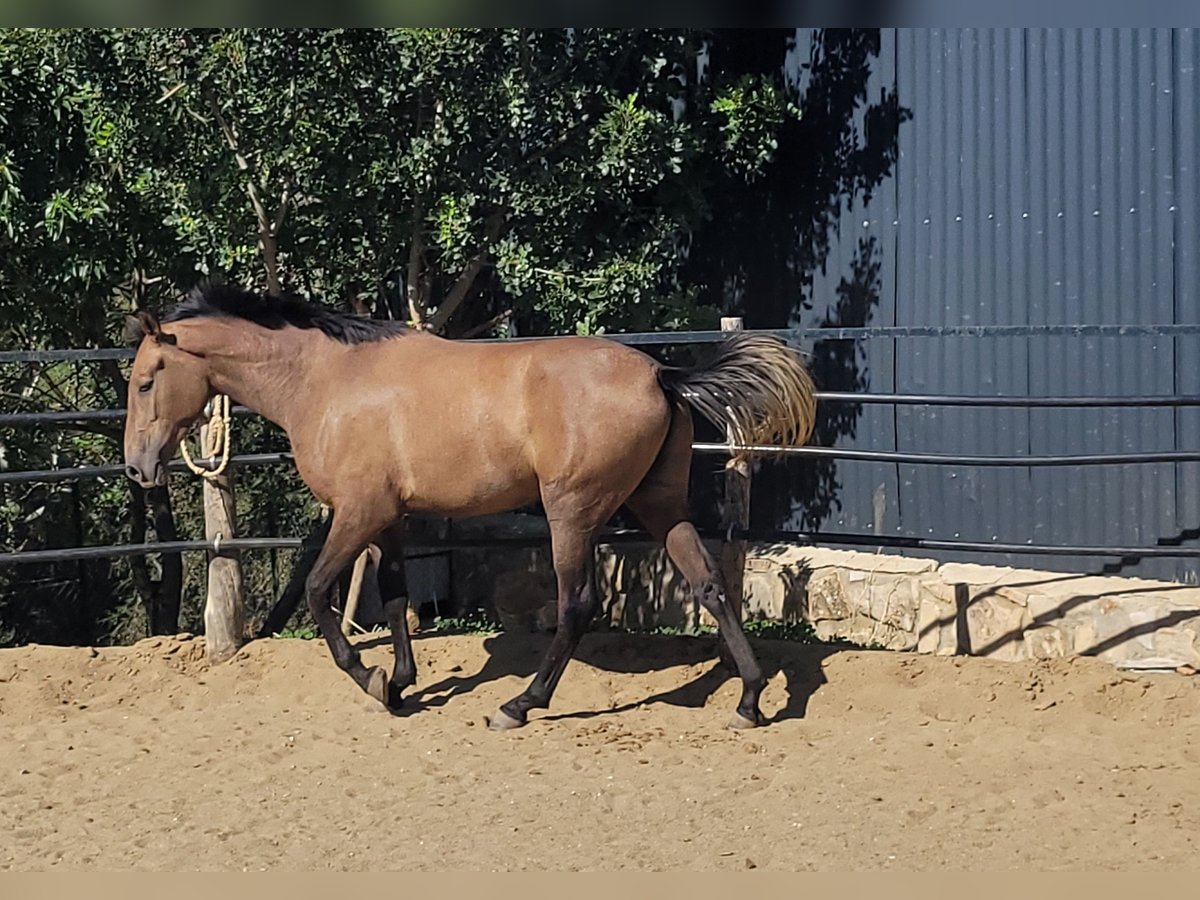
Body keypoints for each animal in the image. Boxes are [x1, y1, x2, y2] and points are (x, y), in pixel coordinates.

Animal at [124, 285, 816, 729]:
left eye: (145, 381)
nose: (137, 466)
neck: (326, 382)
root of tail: (661, 375)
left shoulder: (356, 512)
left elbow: (321, 593)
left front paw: (370, 679)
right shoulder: (389, 519)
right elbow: (396, 598)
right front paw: (400, 685)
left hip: (571, 513)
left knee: (577, 605)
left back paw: (519, 706)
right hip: (660, 504)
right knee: (710, 586)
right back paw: (750, 701)